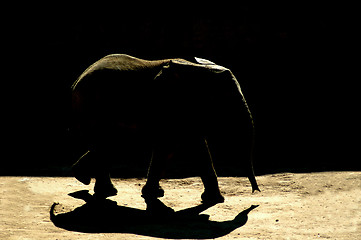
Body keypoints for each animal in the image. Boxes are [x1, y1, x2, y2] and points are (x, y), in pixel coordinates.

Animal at [70, 54, 258, 206]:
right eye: (224, 102)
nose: (255, 192)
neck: (197, 69)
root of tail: (76, 82)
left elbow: (199, 148)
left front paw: (214, 200)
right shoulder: (169, 106)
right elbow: (169, 147)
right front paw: (153, 194)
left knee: (106, 147)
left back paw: (86, 180)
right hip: (91, 107)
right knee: (106, 146)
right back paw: (99, 187)